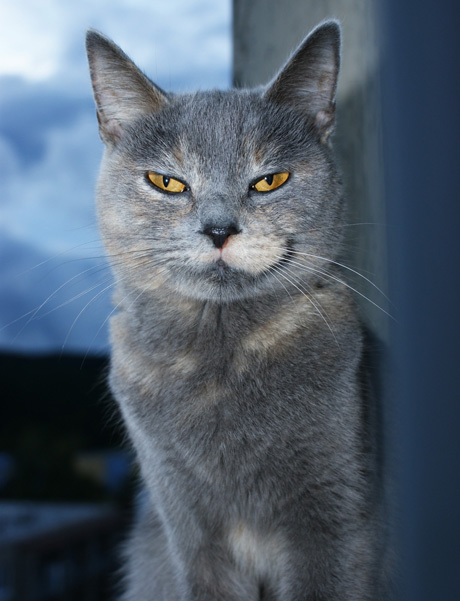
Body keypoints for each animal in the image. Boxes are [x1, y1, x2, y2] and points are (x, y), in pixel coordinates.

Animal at [85, 18, 384, 600]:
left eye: (269, 180)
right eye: (167, 181)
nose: (220, 228)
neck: (220, 361)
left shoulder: (335, 522)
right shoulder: (187, 531)